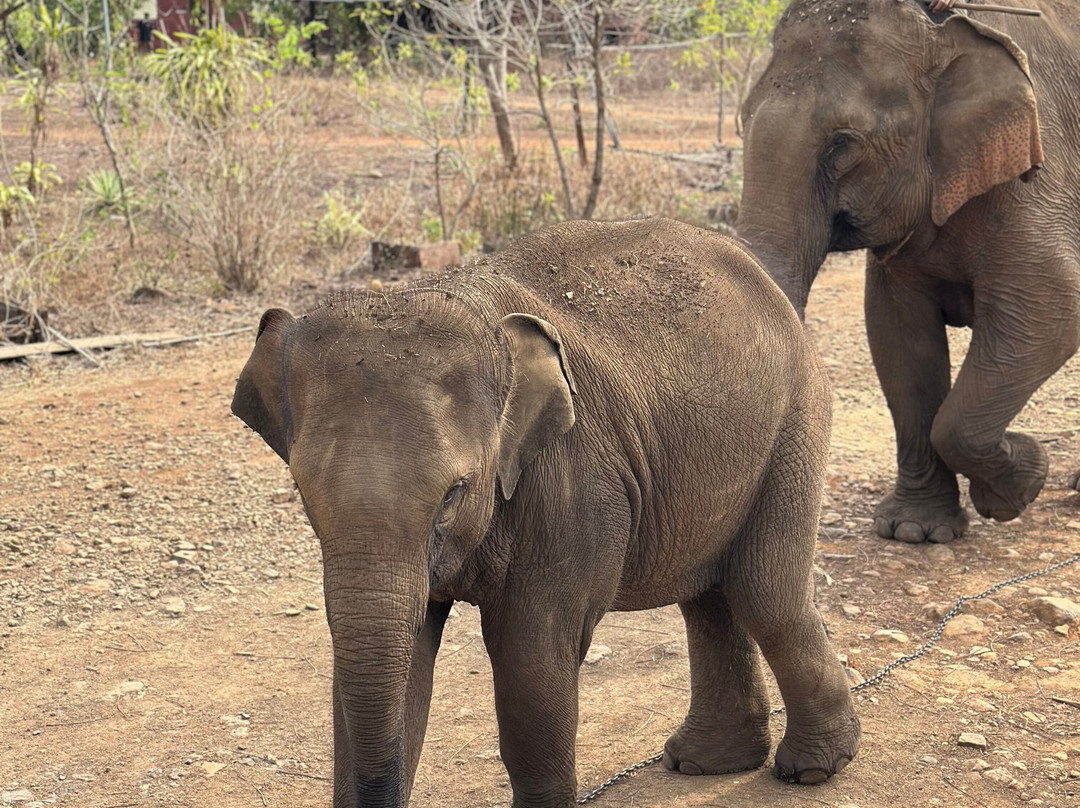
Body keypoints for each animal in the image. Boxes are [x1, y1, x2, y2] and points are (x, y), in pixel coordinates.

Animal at [231, 218, 860, 808]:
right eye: (302, 491)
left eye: (452, 494)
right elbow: (401, 656)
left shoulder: (571, 480)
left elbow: (531, 655)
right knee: (707, 595)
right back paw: (706, 763)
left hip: (795, 421)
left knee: (763, 592)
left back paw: (810, 770)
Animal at [737, 0, 1080, 543]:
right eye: (741, 119)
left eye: (842, 143)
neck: (945, 32)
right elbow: (899, 337)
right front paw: (914, 532)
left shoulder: (1038, 176)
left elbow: (1051, 313)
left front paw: (1019, 486)